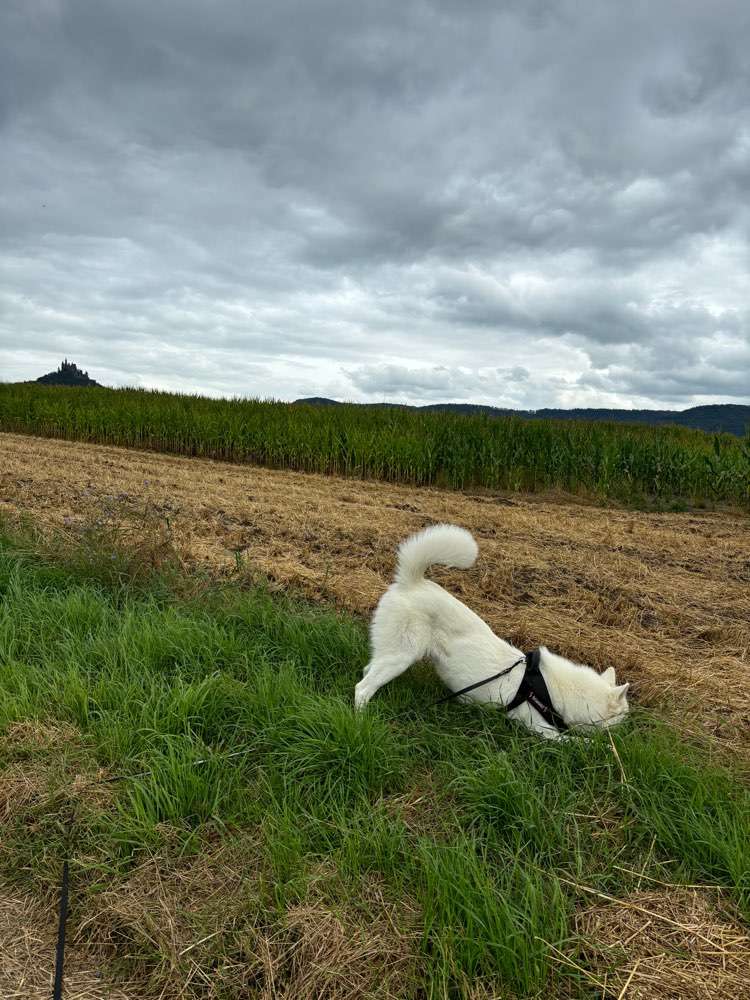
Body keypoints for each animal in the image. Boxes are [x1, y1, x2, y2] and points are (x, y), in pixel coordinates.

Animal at [356, 524, 632, 736]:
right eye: (623, 717)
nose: (624, 736)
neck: (549, 690)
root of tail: (411, 582)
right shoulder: (542, 731)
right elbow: (575, 742)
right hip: (401, 656)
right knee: (362, 688)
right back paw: (362, 719)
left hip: (391, 655)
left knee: (368, 671)